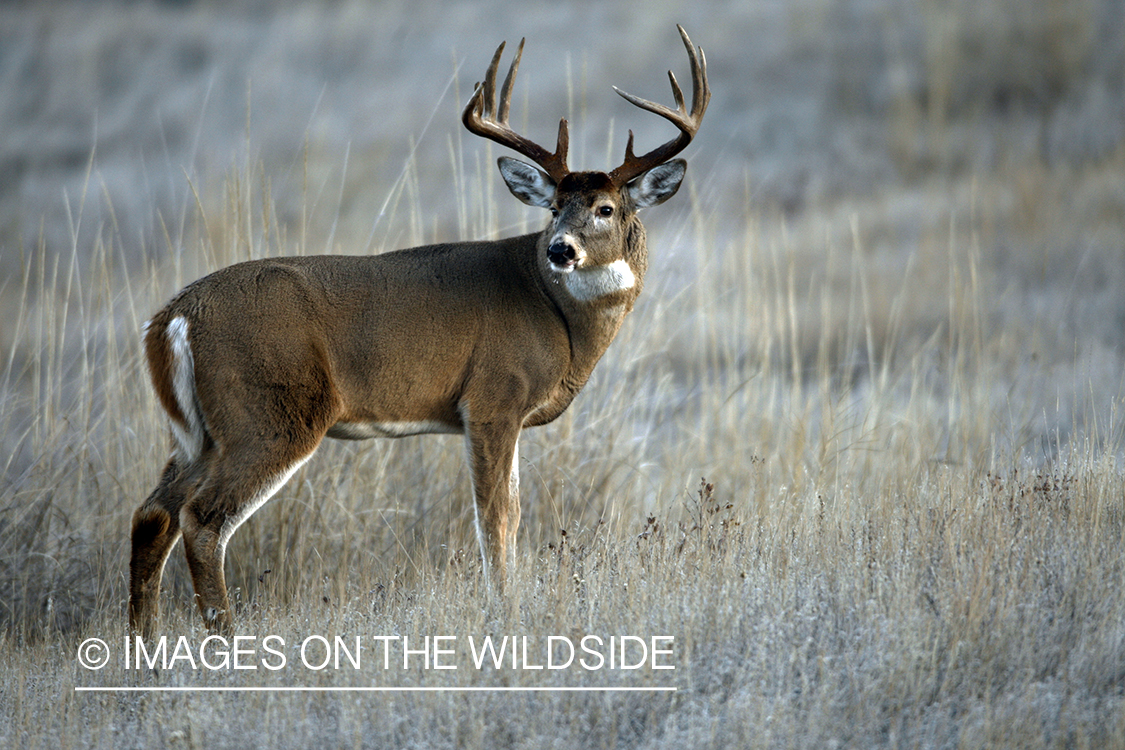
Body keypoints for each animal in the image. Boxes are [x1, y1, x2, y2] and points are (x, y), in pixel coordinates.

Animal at [129, 23, 702, 638]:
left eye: (605, 208)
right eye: (553, 208)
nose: (560, 249)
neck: (557, 316)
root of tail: (174, 317)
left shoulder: (504, 414)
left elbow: (511, 515)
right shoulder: (492, 398)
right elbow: (496, 520)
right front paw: (505, 611)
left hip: (197, 432)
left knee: (154, 513)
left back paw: (145, 642)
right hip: (269, 414)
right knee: (202, 519)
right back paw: (227, 640)